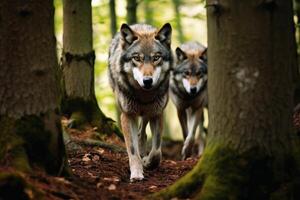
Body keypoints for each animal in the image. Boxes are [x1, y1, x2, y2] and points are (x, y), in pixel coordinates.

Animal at [108, 22, 173, 180]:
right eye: (137, 58)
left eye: (156, 58)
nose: (147, 81)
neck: (144, 96)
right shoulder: (127, 115)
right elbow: (132, 148)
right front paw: (136, 173)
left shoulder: (157, 113)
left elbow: (156, 151)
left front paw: (147, 162)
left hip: (148, 113)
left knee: (142, 131)